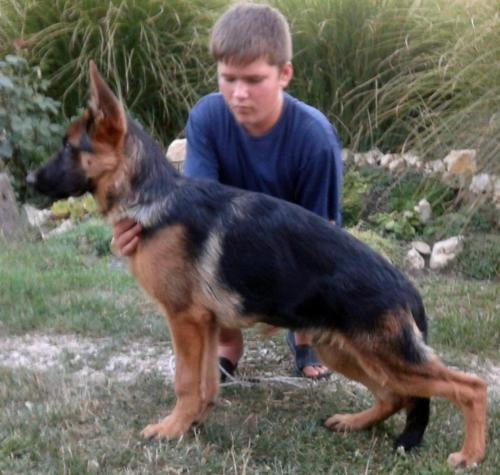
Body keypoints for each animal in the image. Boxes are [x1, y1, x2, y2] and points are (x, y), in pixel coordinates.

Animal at [27, 62, 487, 468]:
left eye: (68, 146)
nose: (29, 180)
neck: (153, 196)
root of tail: (407, 288)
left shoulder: (184, 319)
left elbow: (185, 381)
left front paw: (172, 428)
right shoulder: (205, 324)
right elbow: (206, 382)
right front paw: (194, 421)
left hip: (386, 356)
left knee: (470, 387)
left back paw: (469, 454)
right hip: (343, 350)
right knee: (395, 396)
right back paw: (354, 422)